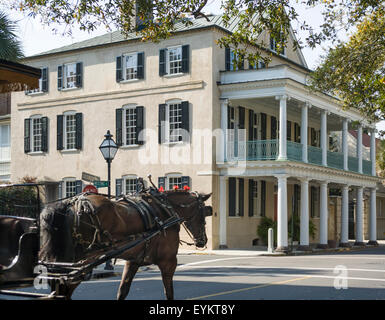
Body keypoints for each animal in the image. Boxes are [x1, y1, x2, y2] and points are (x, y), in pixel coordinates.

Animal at [39, 189, 212, 298]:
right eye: (203, 213)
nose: (203, 241)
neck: (165, 210)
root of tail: (70, 205)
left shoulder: (133, 261)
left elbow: (123, 291)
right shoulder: (169, 262)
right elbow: (169, 292)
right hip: (81, 264)